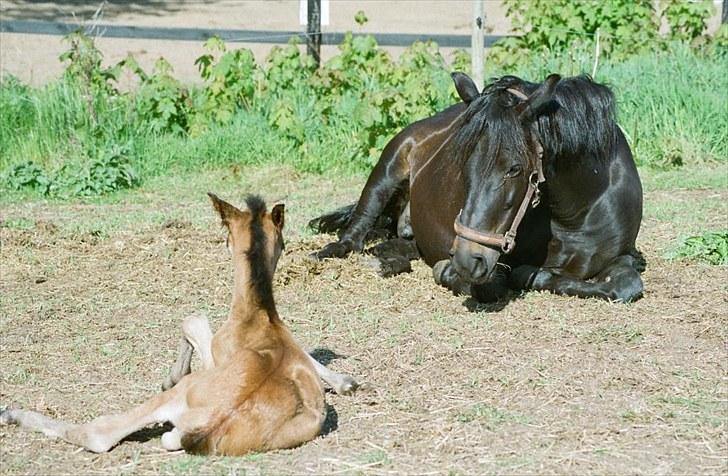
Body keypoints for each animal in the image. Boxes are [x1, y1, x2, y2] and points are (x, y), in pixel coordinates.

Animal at [1, 194, 358, 454]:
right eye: (282, 243)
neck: (258, 313)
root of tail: (210, 424)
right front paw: (346, 382)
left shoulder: (215, 353)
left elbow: (192, 319)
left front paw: (170, 374)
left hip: (181, 395)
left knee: (99, 434)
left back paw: (11, 413)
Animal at [309, 72, 644, 302]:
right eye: (462, 161)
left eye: (514, 168)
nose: (468, 259)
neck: (575, 214)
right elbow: (493, 284)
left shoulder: (624, 256)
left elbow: (628, 285)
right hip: (388, 168)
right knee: (353, 235)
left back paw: (386, 259)